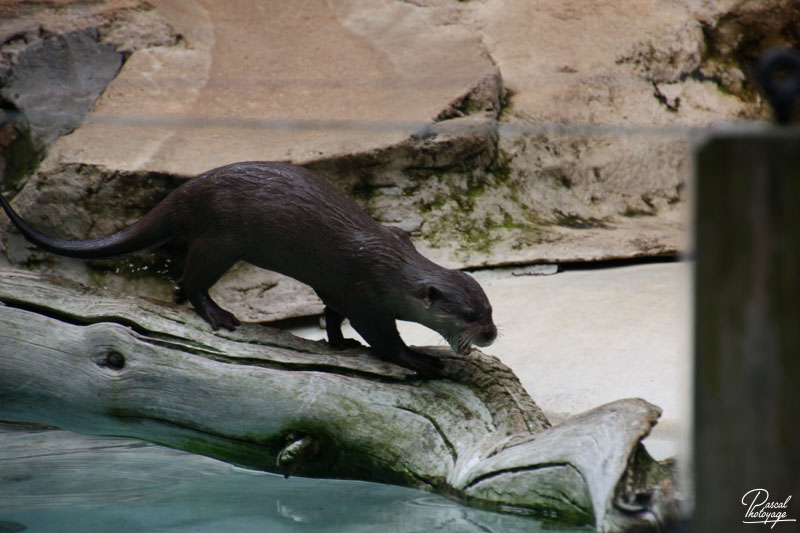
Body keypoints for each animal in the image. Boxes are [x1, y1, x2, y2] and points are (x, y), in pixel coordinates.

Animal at [0, 162, 496, 374]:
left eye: (490, 310)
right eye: (469, 316)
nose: (491, 335)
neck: (395, 268)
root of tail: (185, 193)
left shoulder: (338, 288)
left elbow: (332, 315)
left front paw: (339, 344)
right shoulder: (367, 294)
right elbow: (382, 338)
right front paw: (420, 360)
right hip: (219, 240)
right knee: (191, 279)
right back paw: (220, 316)